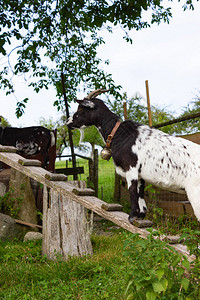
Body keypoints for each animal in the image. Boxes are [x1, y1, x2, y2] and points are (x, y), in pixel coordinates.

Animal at [67, 89, 200, 223]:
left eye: (81, 108)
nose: (68, 122)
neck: (120, 134)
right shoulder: (140, 175)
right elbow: (139, 192)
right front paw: (141, 214)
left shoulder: (130, 168)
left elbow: (132, 191)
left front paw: (131, 216)